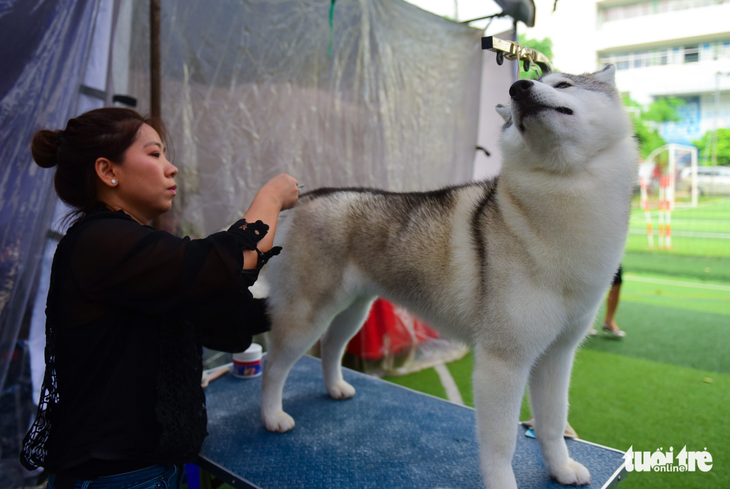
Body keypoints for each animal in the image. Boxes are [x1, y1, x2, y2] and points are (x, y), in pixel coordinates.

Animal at [258, 66, 636, 488]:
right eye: (516, 102)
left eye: (564, 85)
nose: (518, 87)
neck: (566, 186)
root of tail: (309, 197)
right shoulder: (502, 363)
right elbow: (501, 443)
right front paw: (504, 483)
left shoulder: (556, 355)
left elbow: (553, 423)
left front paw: (561, 469)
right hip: (307, 314)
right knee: (272, 369)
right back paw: (272, 416)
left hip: (353, 312)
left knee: (330, 348)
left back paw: (335, 387)